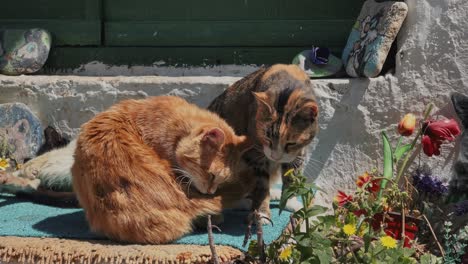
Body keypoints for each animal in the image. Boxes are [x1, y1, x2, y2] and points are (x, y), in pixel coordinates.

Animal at [207, 64, 318, 221]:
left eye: (291, 143)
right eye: (267, 138)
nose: (275, 156)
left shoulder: (297, 154)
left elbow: (291, 178)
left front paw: (289, 202)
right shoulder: (255, 154)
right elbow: (261, 185)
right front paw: (262, 213)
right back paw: (245, 202)